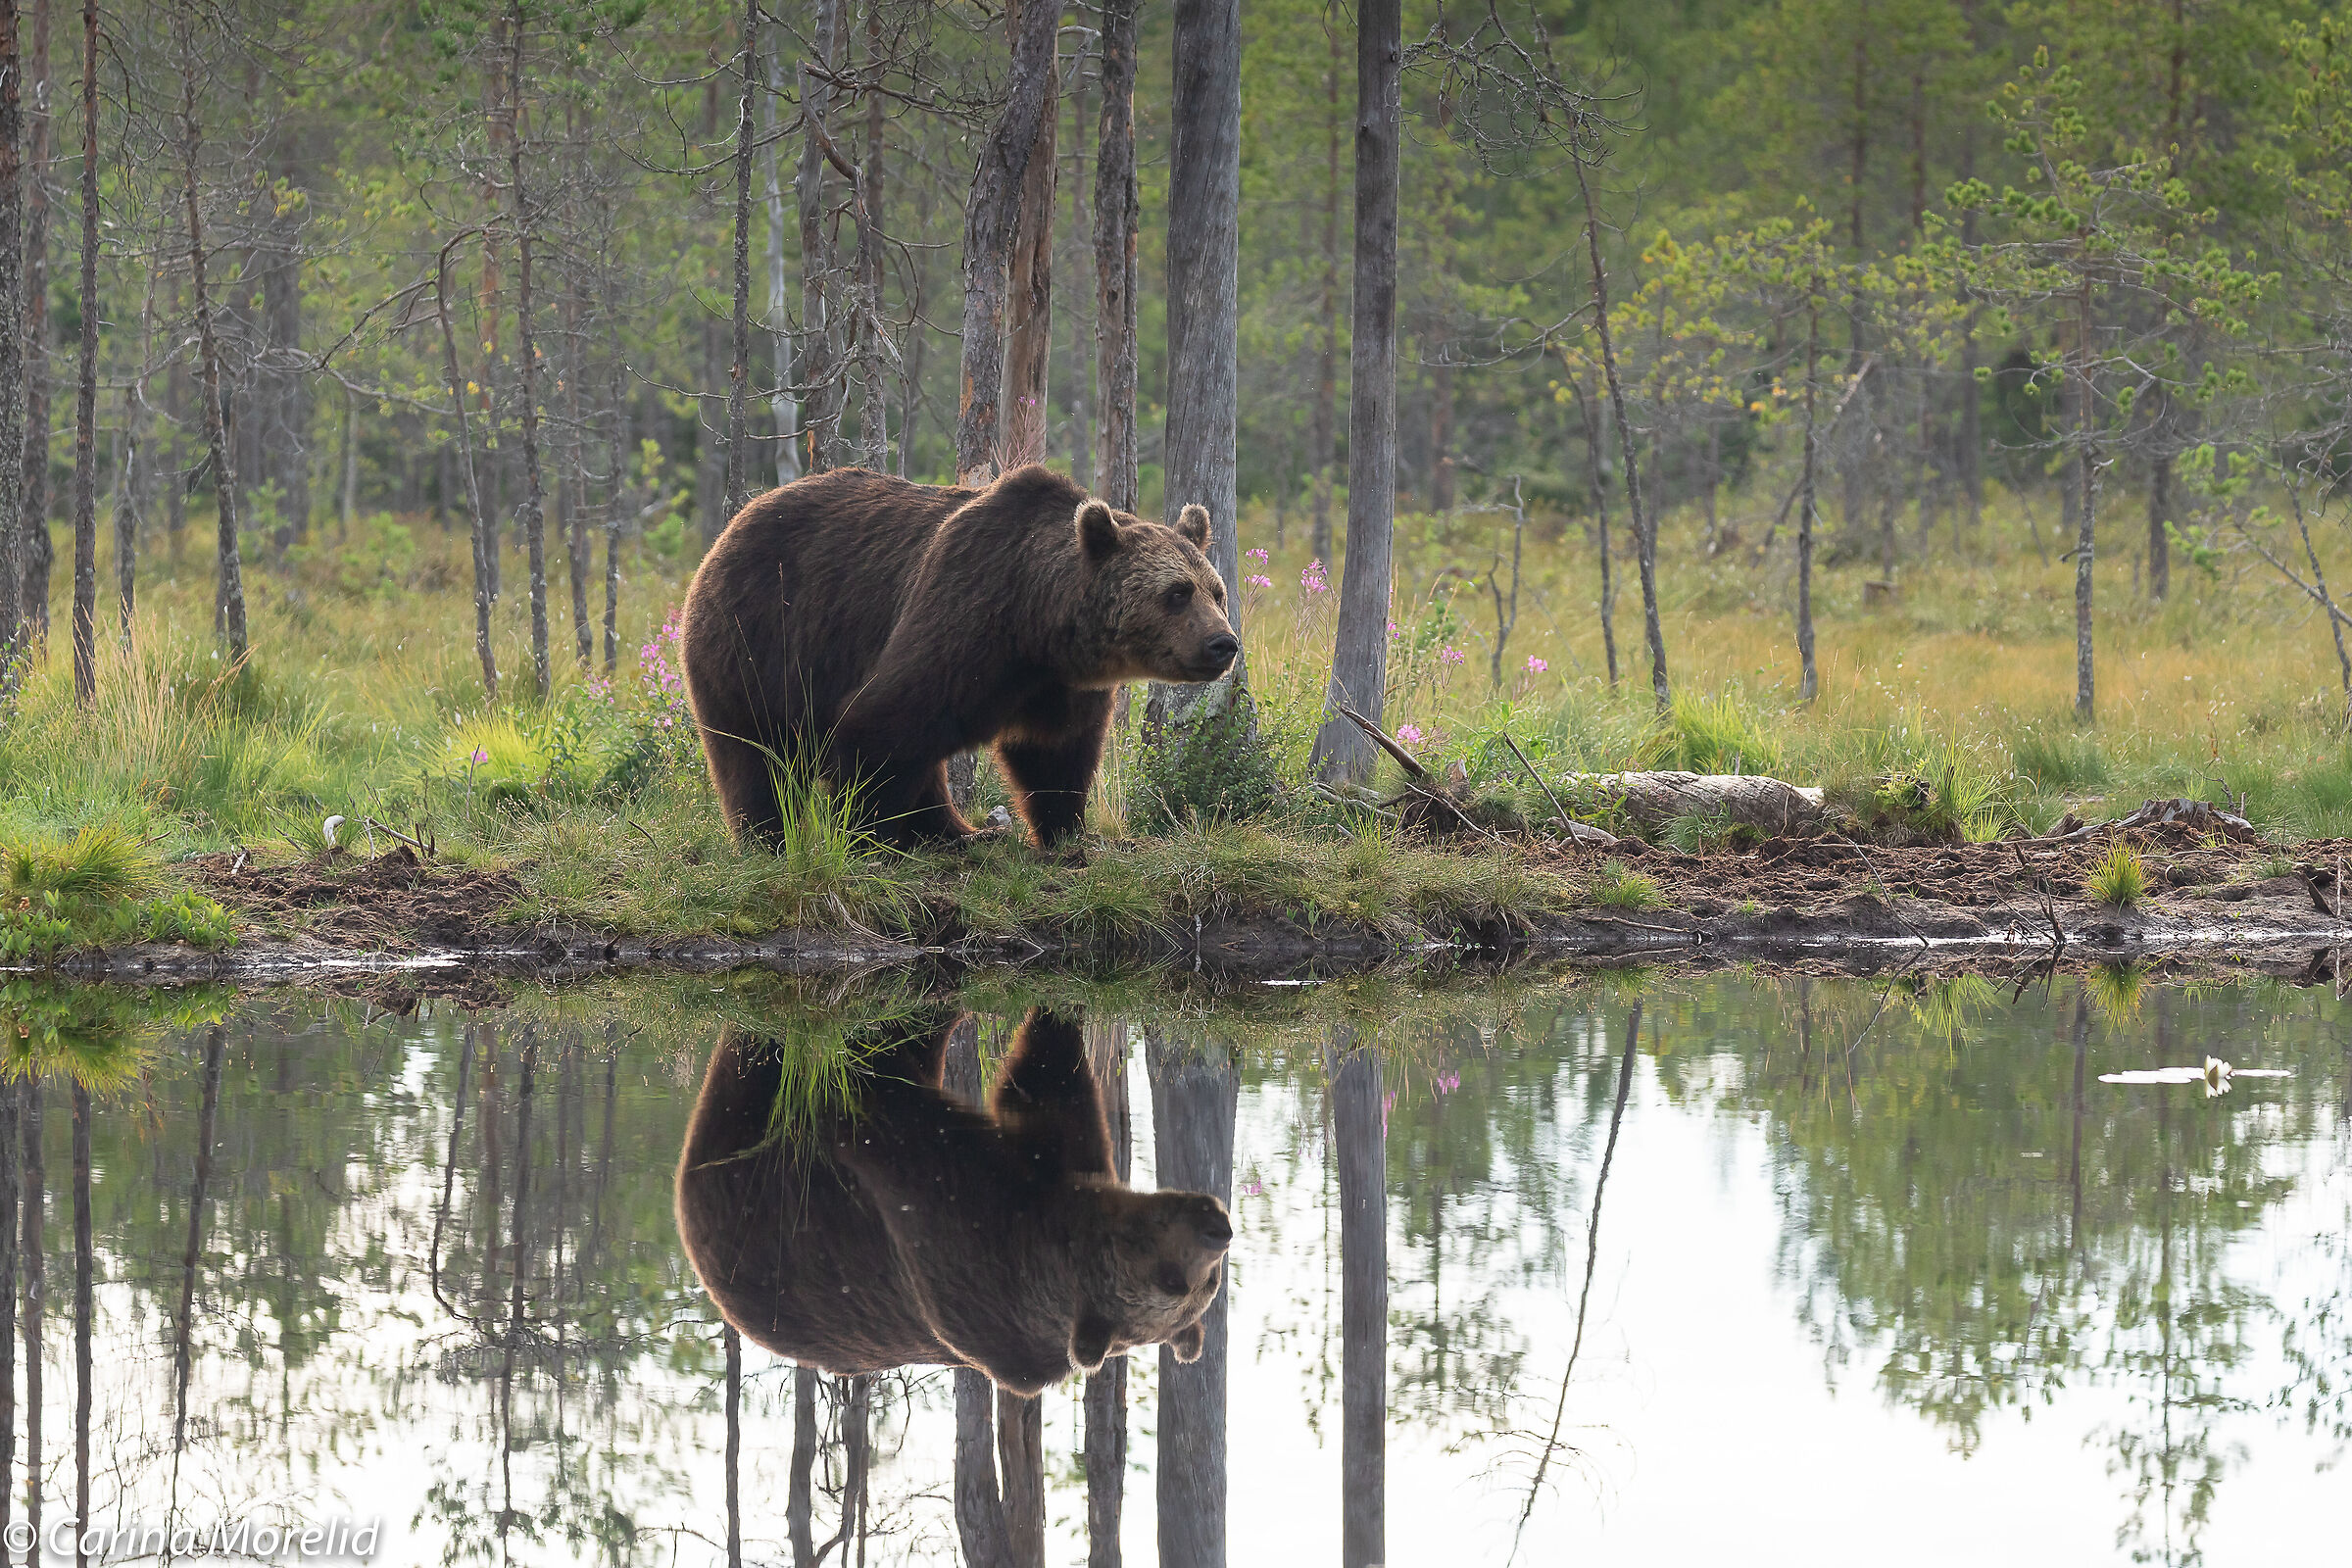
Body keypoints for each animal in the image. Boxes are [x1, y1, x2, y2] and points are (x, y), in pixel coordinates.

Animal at [673, 1006, 1232, 1397]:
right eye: (1179, 1279)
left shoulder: (961, 1243)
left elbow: (882, 1112)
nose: (1218, 1228)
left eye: (1199, 1284)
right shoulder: (1046, 1169)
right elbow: (1044, 1078)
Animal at [679, 464, 1241, 849]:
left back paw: (962, 833)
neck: (1036, 625)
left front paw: (1065, 832)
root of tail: (727, 530)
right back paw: (769, 838)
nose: (1224, 644)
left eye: (1217, 592)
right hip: (756, 640)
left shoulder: (1060, 687)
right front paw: (866, 836)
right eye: (1176, 593)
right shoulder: (962, 619)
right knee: (755, 753)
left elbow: (1056, 754)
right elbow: (879, 723)